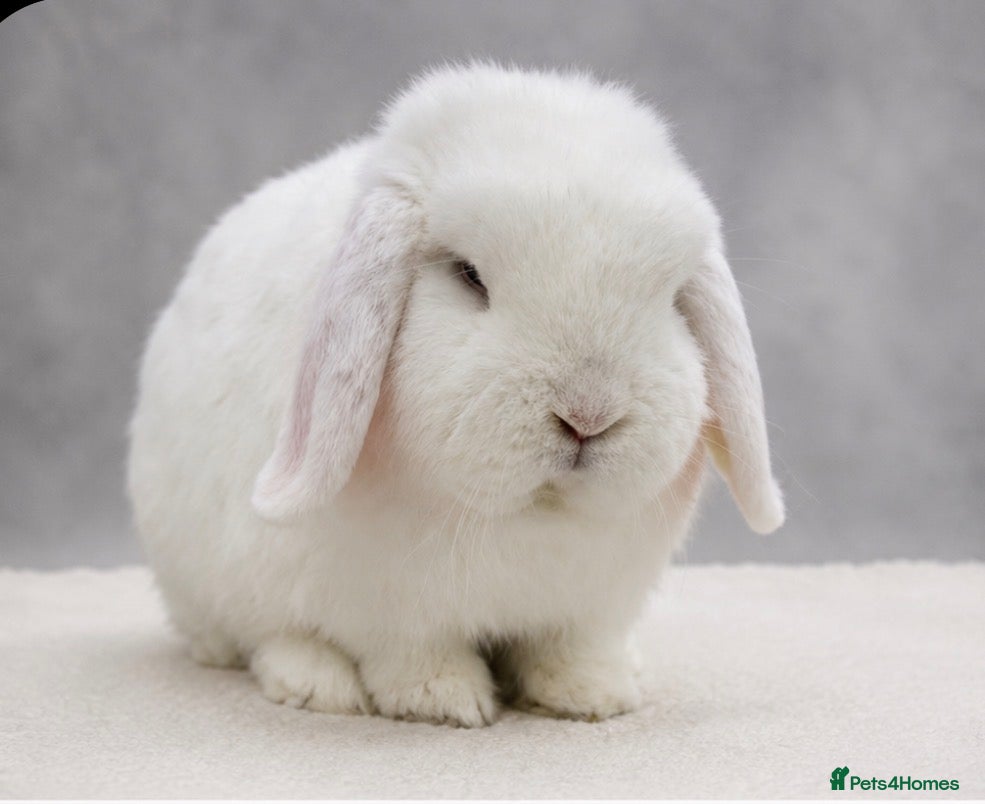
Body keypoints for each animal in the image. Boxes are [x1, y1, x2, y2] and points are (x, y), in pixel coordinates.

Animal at [127, 63, 784, 727]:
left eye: (671, 296)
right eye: (469, 276)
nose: (587, 416)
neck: (528, 516)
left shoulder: (588, 608)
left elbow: (570, 648)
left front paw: (592, 696)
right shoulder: (388, 609)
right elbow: (411, 653)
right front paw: (443, 700)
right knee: (263, 635)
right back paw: (316, 684)